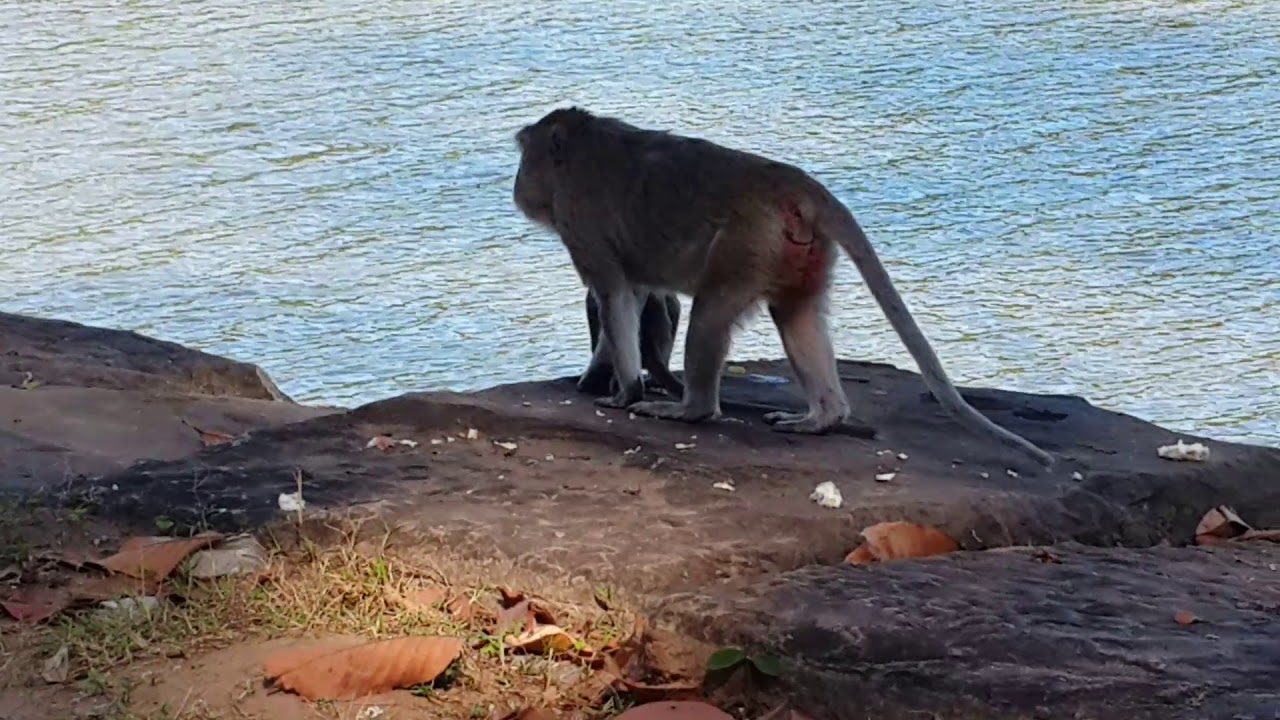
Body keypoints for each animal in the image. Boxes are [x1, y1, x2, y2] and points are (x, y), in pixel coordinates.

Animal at [512, 106, 1053, 467]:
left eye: (525, 156)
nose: (516, 188)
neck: (581, 147)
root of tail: (793, 184)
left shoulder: (580, 224)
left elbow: (615, 298)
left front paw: (622, 391)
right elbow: (635, 294)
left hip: (748, 245)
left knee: (711, 314)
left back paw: (690, 410)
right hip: (799, 253)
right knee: (797, 317)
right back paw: (822, 417)